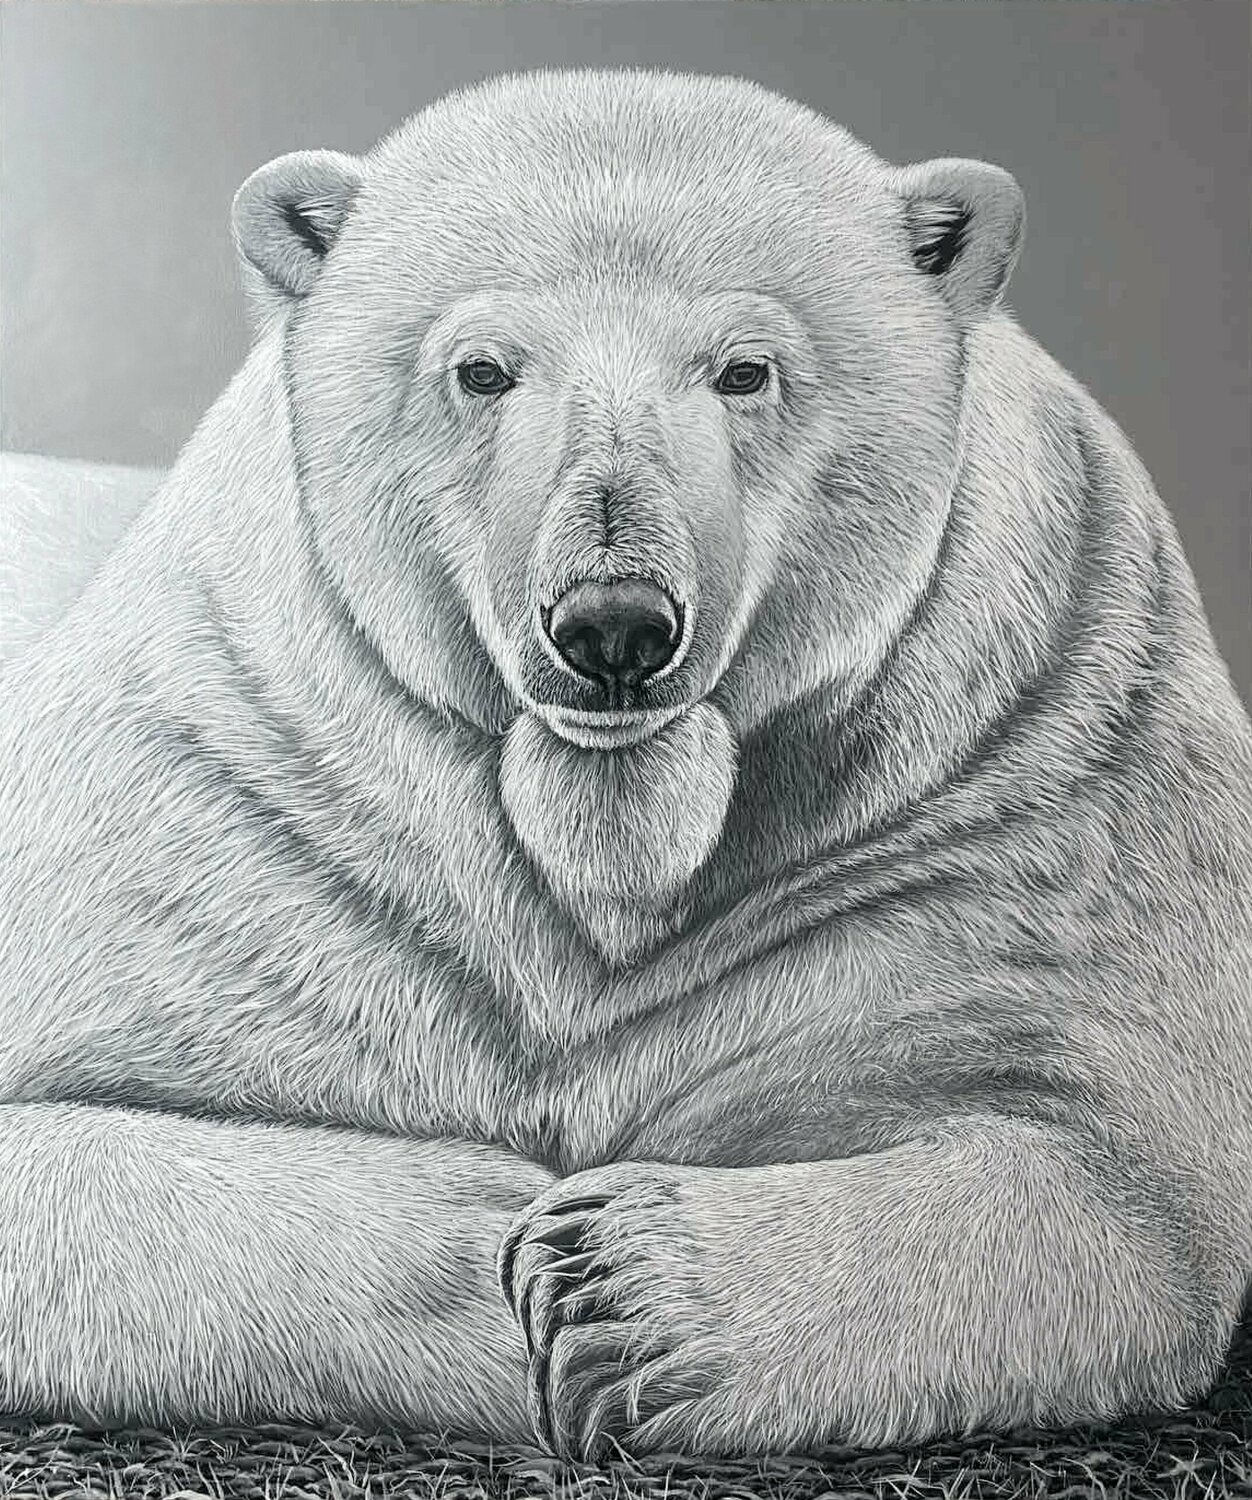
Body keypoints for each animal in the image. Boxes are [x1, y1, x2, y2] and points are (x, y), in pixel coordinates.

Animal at [1, 68, 1250, 1462]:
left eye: (745, 369)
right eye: (481, 368)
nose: (612, 626)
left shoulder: (1030, 801)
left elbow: (1121, 1189)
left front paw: (608, 1284)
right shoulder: (237, 794)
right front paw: (501, 1242)